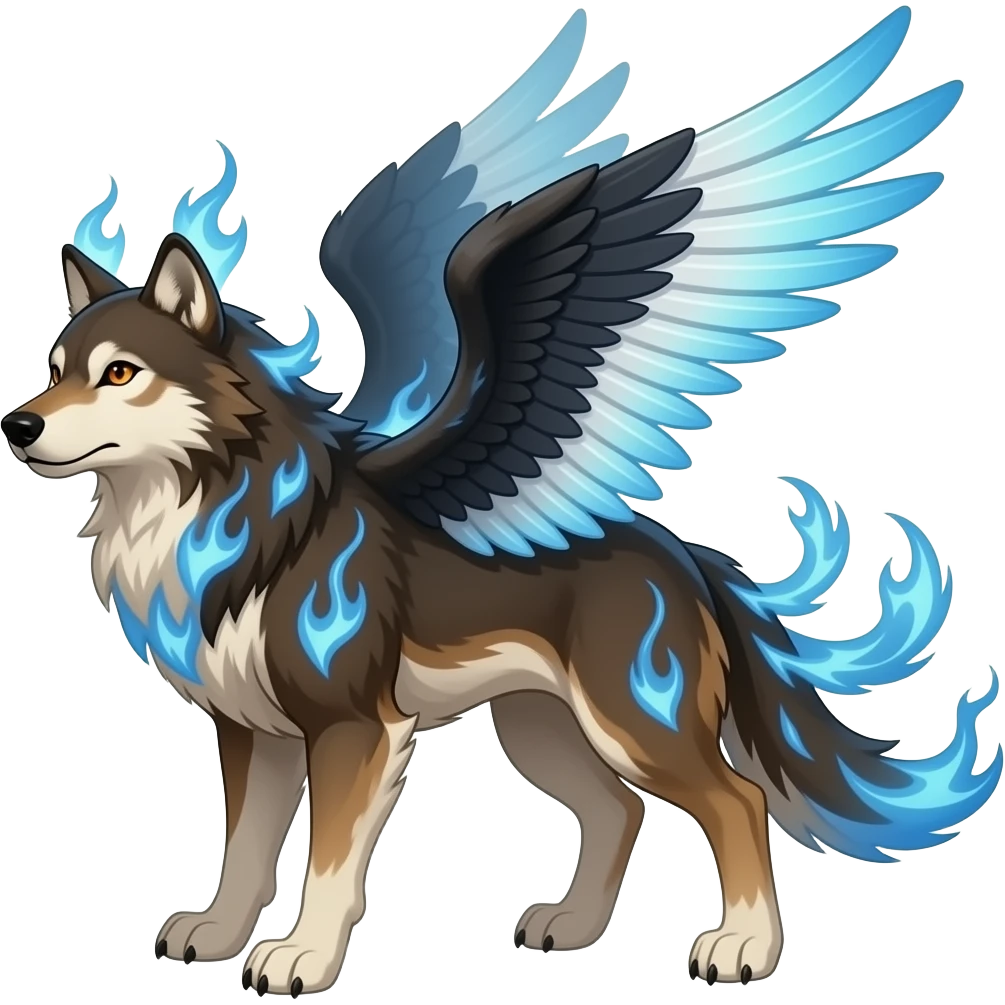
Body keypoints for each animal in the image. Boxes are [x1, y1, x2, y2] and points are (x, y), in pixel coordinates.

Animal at [4, 5, 998, 999]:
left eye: (120, 373)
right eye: (55, 368)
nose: (16, 425)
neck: (225, 504)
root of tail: (685, 556)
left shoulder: (352, 727)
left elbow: (327, 858)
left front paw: (302, 956)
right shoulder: (251, 728)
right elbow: (244, 844)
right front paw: (217, 933)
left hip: (631, 719)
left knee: (733, 798)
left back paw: (743, 947)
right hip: (540, 727)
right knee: (620, 810)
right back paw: (574, 925)